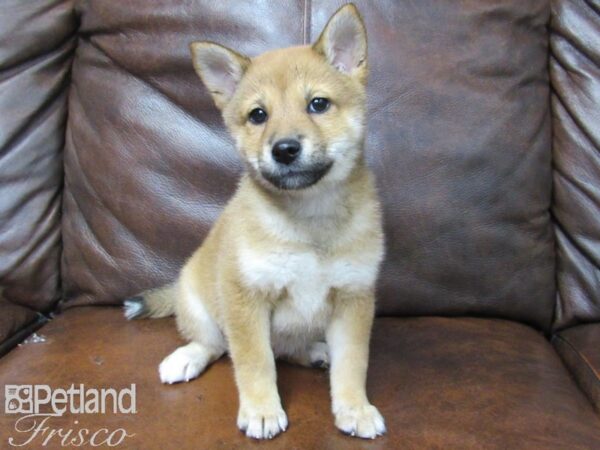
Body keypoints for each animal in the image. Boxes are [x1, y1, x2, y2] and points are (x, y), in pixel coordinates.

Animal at [125, 2, 386, 440]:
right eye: (258, 115)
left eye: (318, 104)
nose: (284, 149)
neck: (308, 218)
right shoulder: (245, 297)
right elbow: (253, 361)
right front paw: (262, 410)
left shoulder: (353, 298)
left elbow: (354, 363)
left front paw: (354, 408)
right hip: (198, 303)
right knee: (216, 345)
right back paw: (186, 358)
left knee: (289, 349)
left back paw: (316, 352)